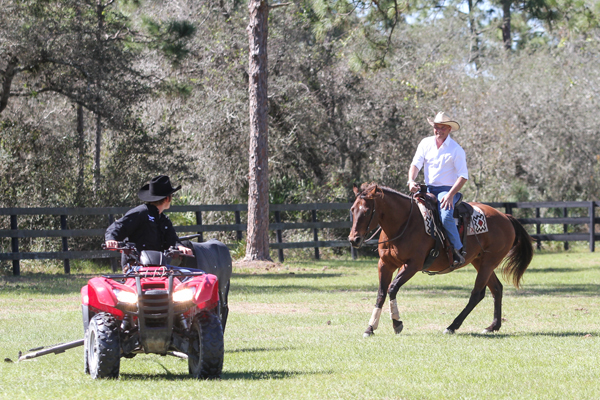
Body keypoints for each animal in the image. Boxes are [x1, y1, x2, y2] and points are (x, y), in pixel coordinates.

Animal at [346, 184, 536, 338]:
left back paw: (452, 326)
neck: (404, 224)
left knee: (477, 294)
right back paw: (492, 326)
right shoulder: (385, 265)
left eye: (366, 211)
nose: (354, 239)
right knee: (496, 289)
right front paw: (370, 328)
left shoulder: (412, 265)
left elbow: (392, 288)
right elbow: (381, 294)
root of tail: (505, 216)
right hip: (480, 262)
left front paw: (397, 323)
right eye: (352, 209)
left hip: (489, 262)